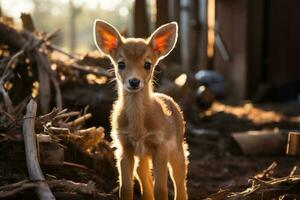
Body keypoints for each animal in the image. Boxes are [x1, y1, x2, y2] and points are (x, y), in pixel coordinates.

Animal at [94, 19, 188, 200]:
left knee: (180, 184)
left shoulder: (161, 146)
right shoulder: (124, 148)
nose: (134, 81)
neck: (138, 126)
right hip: (142, 159)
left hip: (178, 149)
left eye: (147, 64)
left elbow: (161, 189)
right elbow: (126, 188)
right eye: (121, 64)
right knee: (147, 184)